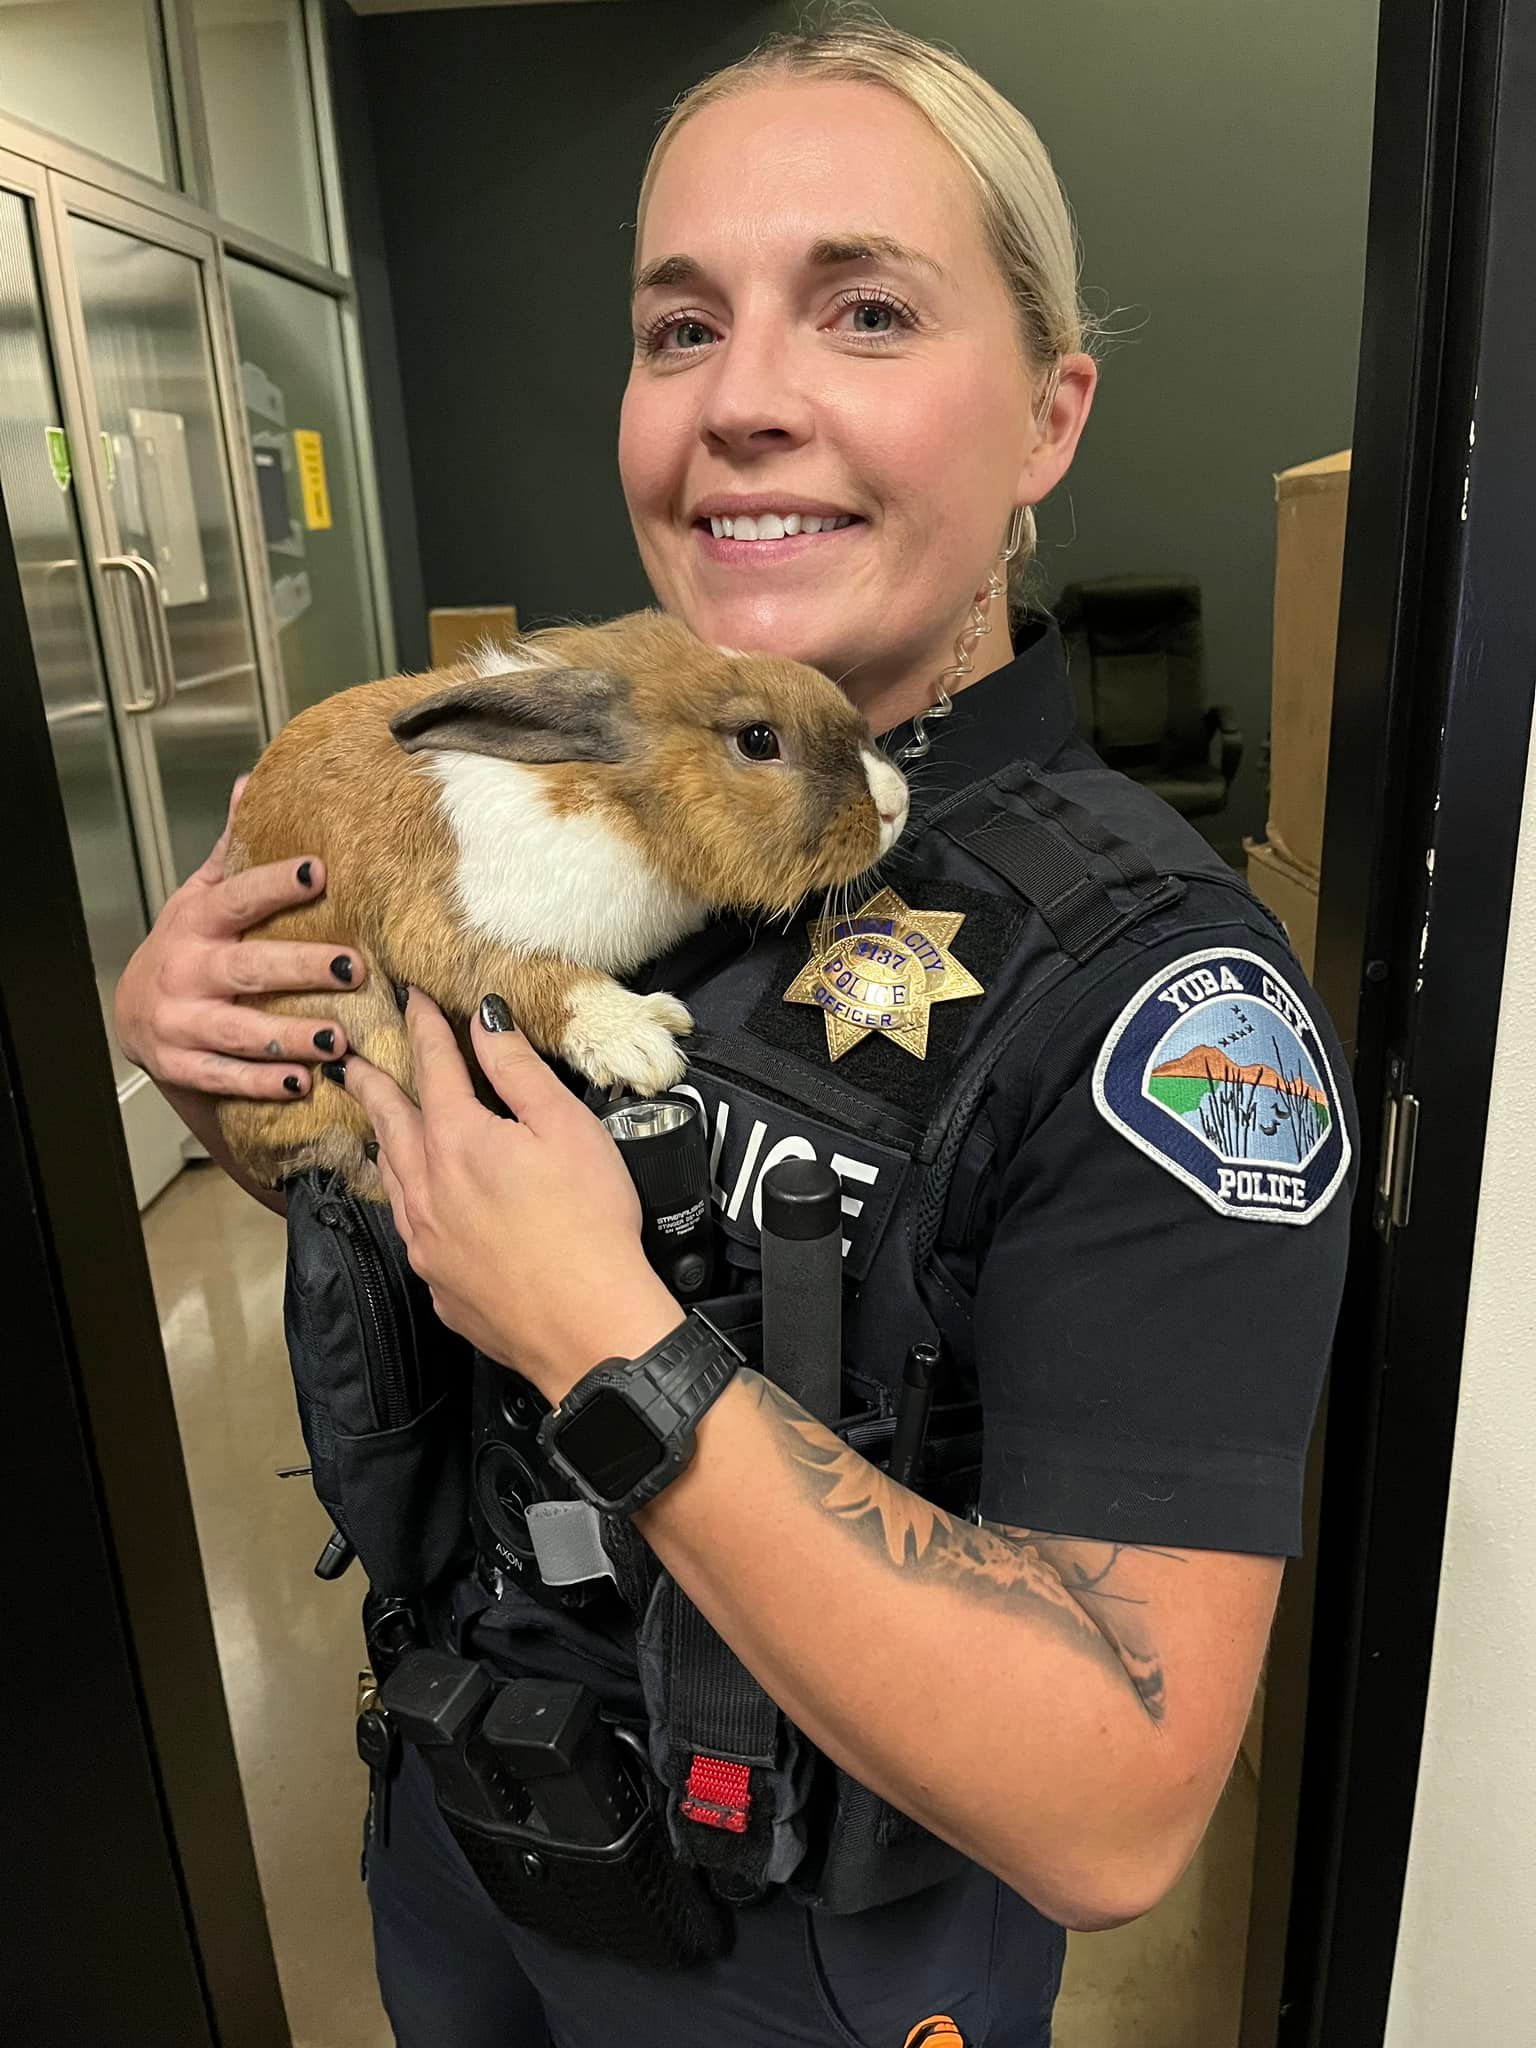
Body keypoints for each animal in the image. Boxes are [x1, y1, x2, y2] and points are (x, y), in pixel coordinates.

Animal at [218, 606, 913, 1196]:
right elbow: (523, 976)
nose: (895, 804)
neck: (626, 808)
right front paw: (639, 1038)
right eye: (758, 739)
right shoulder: (450, 923)